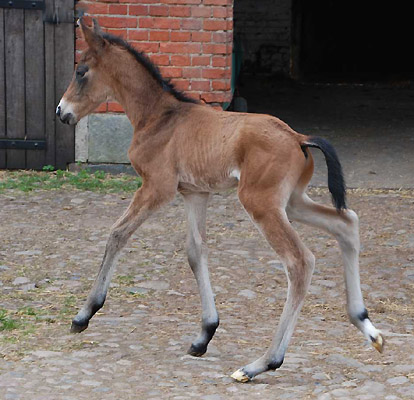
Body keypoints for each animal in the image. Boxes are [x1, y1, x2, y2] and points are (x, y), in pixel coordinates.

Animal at [56, 20, 384, 382]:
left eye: (81, 71)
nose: (61, 111)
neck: (159, 117)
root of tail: (299, 138)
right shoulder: (194, 193)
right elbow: (195, 251)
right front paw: (205, 333)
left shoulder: (157, 188)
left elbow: (117, 234)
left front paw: (84, 314)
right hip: (292, 202)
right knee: (346, 222)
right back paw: (367, 326)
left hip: (261, 202)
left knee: (300, 261)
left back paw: (262, 363)